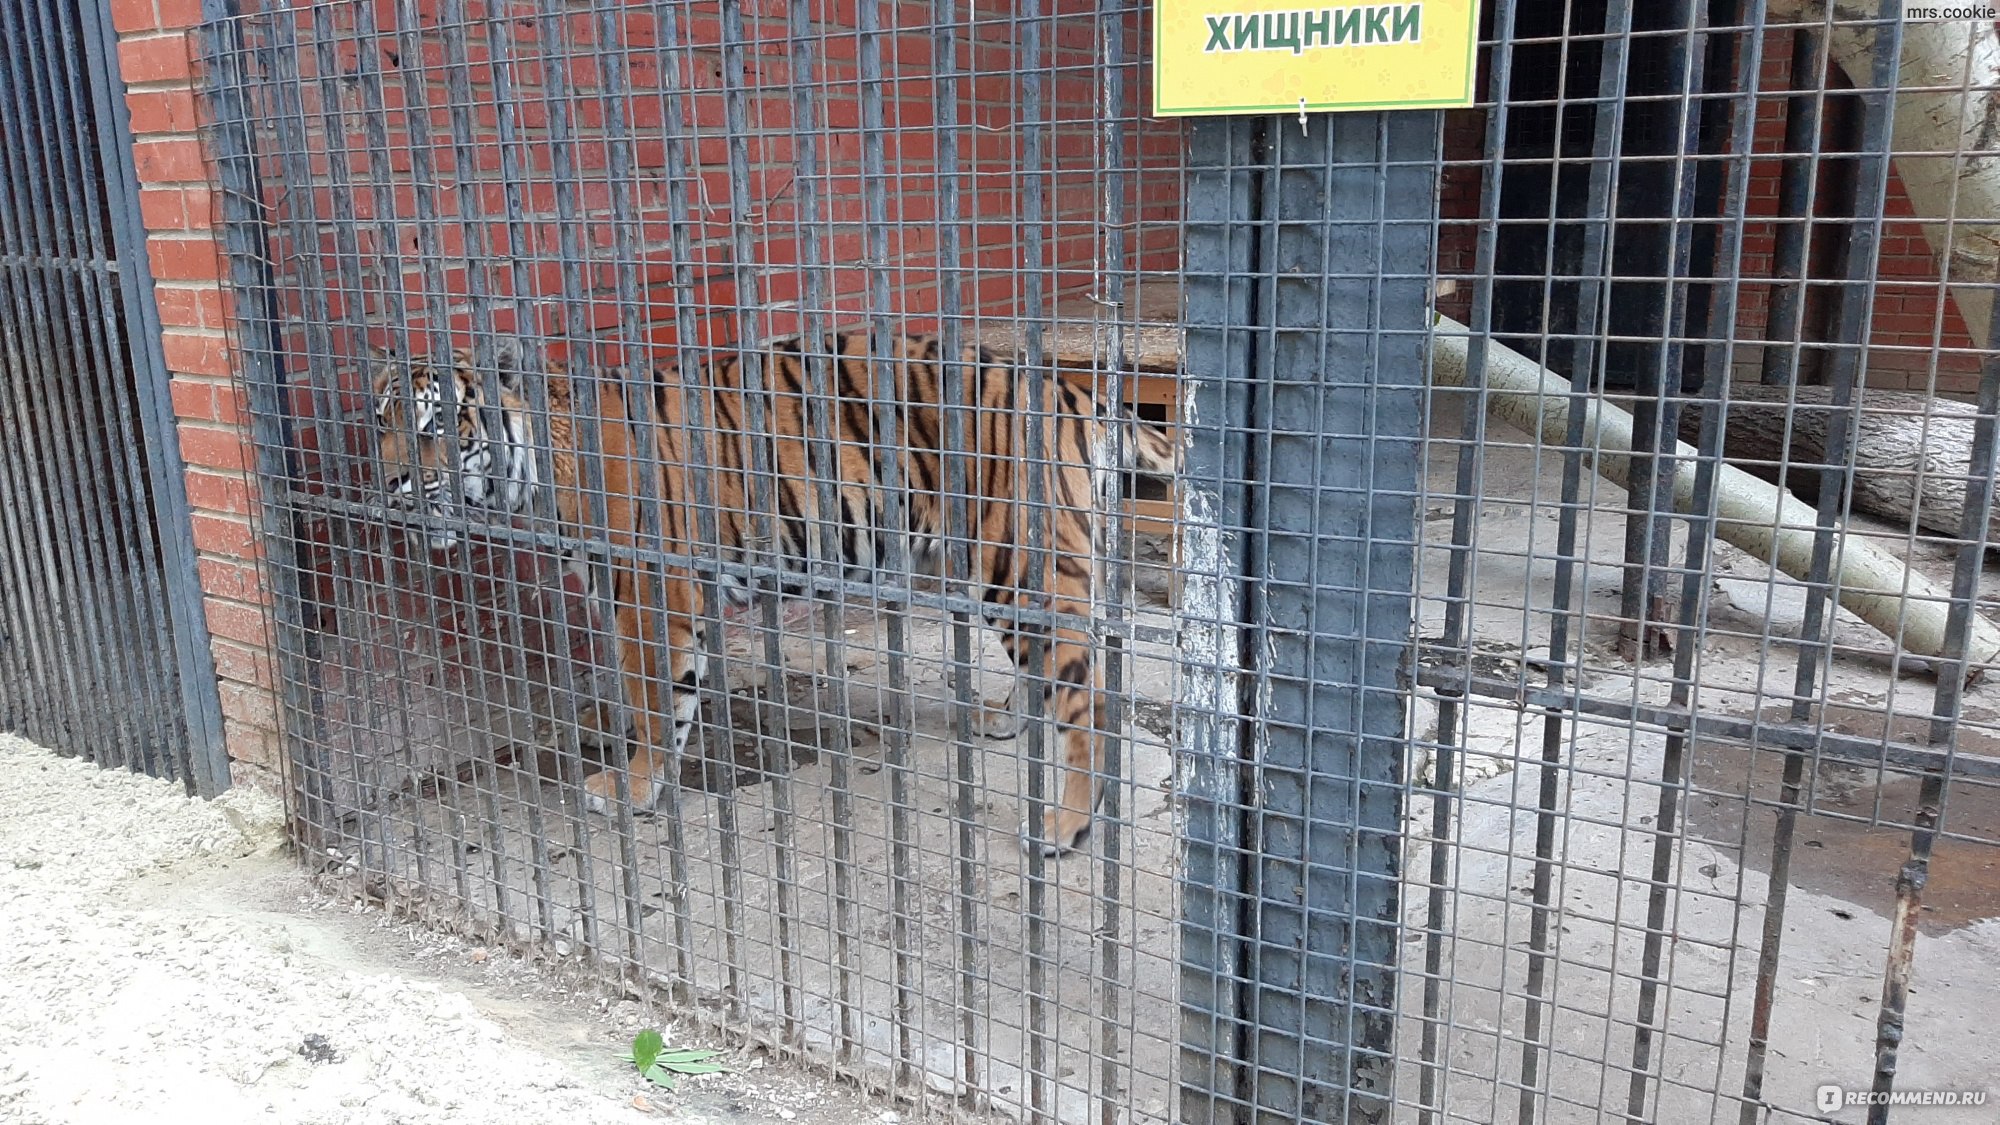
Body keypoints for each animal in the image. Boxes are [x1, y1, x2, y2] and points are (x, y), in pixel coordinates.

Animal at [370, 328, 1176, 852]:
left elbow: (653, 701)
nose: (392, 482)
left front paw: (631, 788)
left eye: (437, 427)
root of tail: (1074, 389)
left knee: (1090, 695)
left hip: (1017, 565)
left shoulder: (650, 595)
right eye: (381, 422)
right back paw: (1004, 718)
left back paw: (1064, 826)